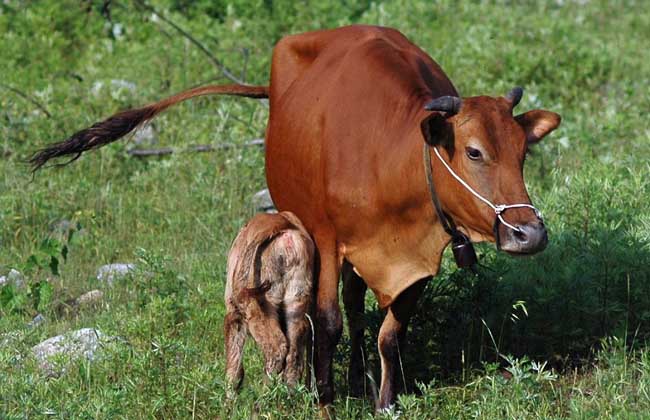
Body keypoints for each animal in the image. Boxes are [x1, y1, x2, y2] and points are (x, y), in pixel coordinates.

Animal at [223, 212, 314, 388]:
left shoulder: (235, 314)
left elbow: (234, 369)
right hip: (296, 302)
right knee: (293, 360)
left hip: (260, 307)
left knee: (276, 349)